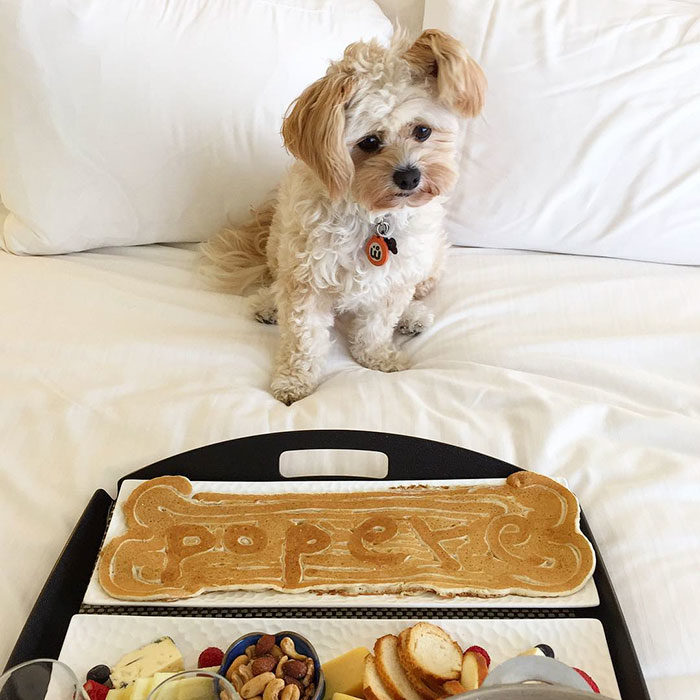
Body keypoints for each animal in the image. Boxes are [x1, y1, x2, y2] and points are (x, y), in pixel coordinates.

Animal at [202, 30, 484, 404]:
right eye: (369, 142)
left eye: (422, 131)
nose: (409, 177)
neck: (373, 215)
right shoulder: (306, 280)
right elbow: (304, 340)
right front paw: (294, 382)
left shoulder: (394, 281)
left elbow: (378, 326)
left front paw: (377, 357)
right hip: (280, 247)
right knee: (276, 282)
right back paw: (268, 306)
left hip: (432, 261)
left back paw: (412, 316)